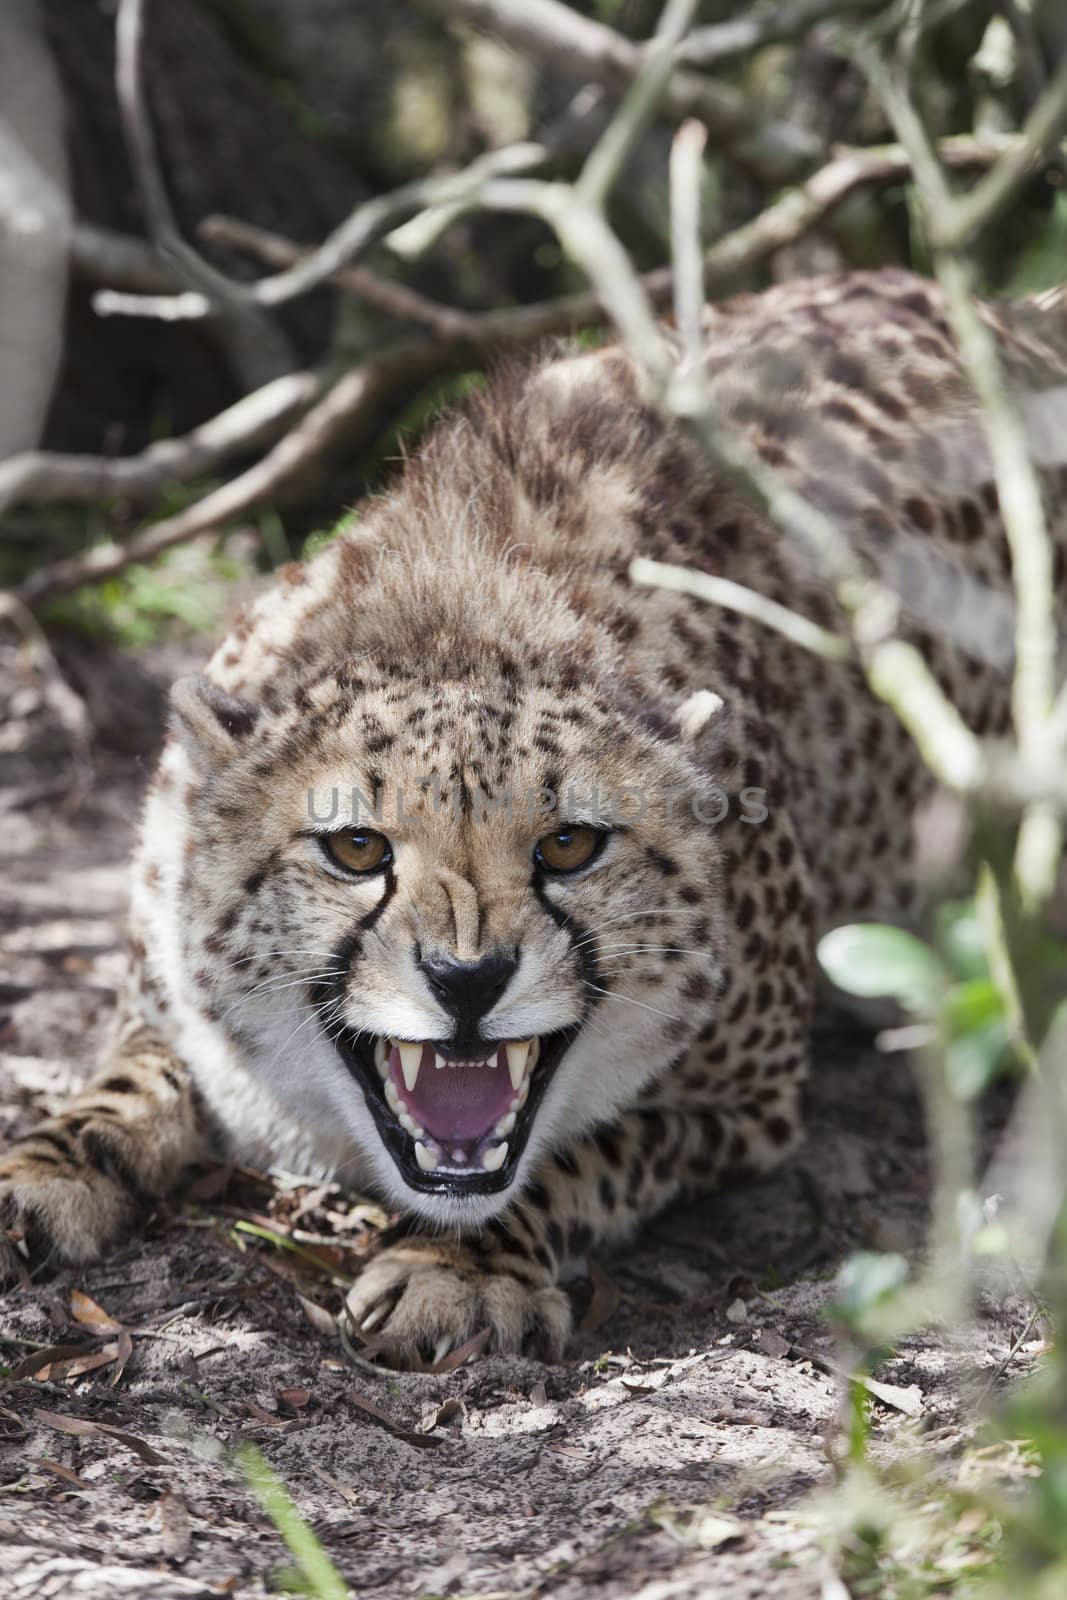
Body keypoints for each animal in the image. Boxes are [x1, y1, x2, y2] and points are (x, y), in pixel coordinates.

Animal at [2, 268, 1067, 1356]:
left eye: (568, 844)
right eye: (356, 848)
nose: (467, 980)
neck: (456, 615)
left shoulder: (750, 1102)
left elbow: (584, 1149)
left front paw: (456, 1265)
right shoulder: (161, 992)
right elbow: (122, 1079)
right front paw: (41, 1170)